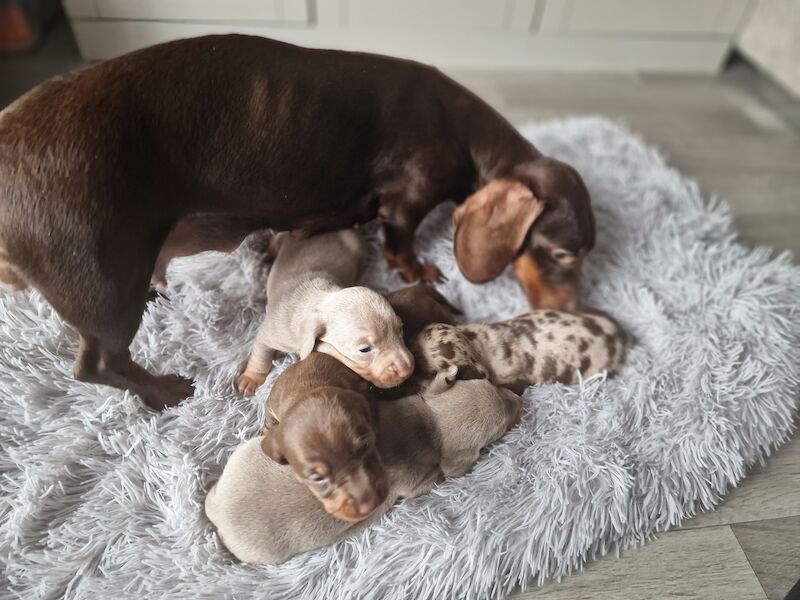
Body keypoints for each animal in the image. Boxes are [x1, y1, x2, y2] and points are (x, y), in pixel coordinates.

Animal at [236, 229, 416, 394]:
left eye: (400, 329)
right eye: (364, 350)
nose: (407, 371)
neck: (322, 299)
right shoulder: (273, 332)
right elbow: (261, 353)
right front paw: (250, 378)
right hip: (282, 238)